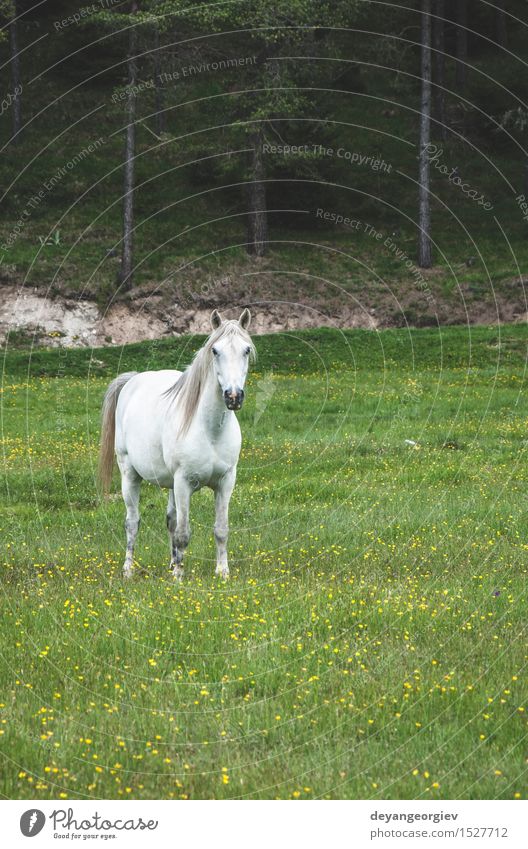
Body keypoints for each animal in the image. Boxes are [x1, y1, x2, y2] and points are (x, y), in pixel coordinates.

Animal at [100, 308, 256, 580]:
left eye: (246, 350)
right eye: (215, 351)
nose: (233, 396)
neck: (210, 430)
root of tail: (133, 380)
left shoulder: (226, 482)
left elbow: (221, 529)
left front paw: (222, 572)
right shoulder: (183, 483)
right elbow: (183, 534)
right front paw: (179, 578)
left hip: (171, 484)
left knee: (170, 520)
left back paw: (172, 563)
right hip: (130, 474)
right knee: (132, 522)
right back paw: (128, 569)